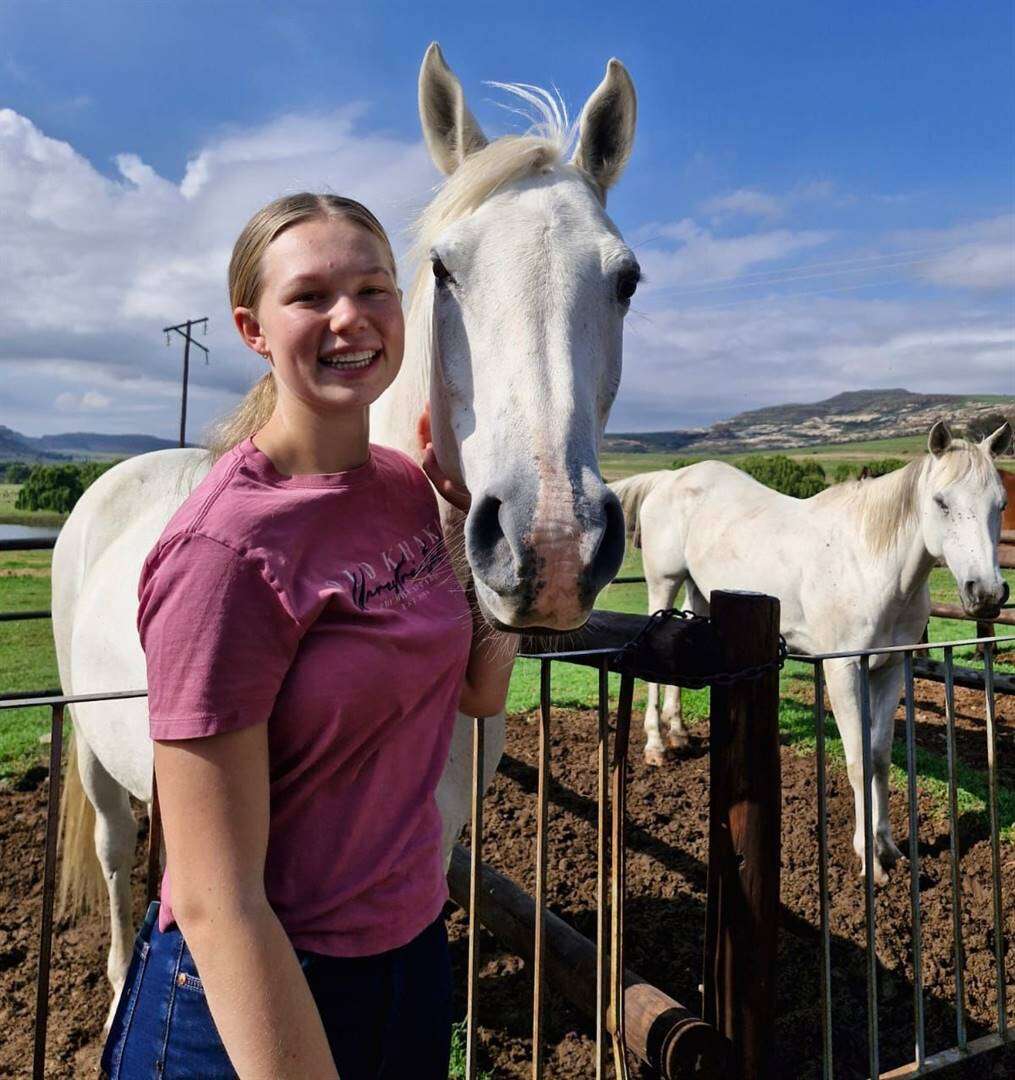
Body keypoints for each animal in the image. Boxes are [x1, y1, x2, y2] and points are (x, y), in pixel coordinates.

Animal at [613, 421, 1010, 885]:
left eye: (1000, 504)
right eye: (941, 502)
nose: (986, 593)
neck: (871, 564)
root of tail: (669, 478)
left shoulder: (891, 669)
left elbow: (880, 758)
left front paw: (889, 847)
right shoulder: (842, 671)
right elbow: (858, 762)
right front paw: (870, 860)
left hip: (700, 593)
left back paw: (678, 734)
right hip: (664, 582)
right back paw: (657, 746)